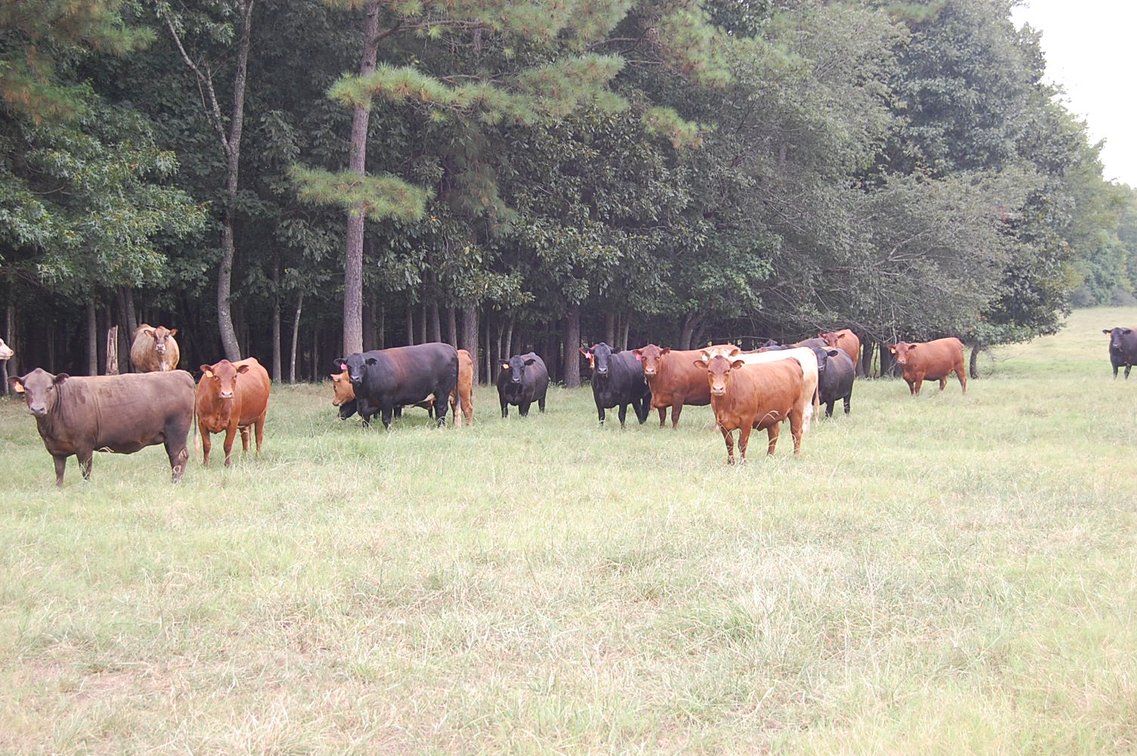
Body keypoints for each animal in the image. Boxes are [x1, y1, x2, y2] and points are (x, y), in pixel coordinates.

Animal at [9, 368, 194, 486]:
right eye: (27, 388)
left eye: (49, 387)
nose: (37, 409)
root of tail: (181, 374)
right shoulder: (56, 450)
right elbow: (59, 472)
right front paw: (58, 489)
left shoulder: (84, 444)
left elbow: (85, 470)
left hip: (176, 432)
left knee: (179, 457)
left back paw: (175, 483)